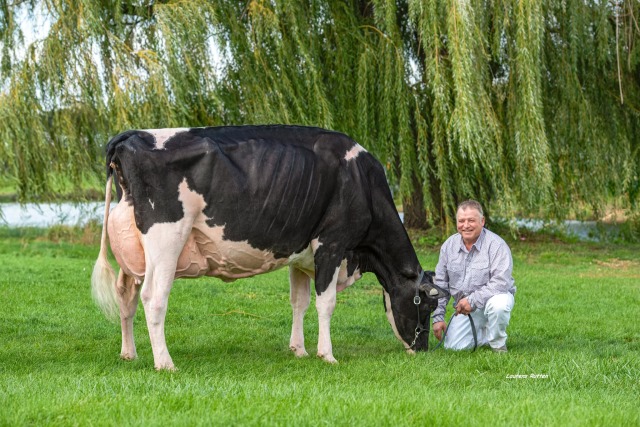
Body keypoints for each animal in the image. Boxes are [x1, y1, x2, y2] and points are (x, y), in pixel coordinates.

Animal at [92, 125, 448, 370]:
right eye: (427, 306)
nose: (422, 350)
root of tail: (129, 136)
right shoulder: (332, 243)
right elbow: (326, 303)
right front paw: (327, 354)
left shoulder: (301, 256)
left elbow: (299, 302)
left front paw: (299, 350)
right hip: (166, 241)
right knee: (154, 298)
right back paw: (165, 363)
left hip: (134, 254)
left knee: (127, 296)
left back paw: (129, 353)